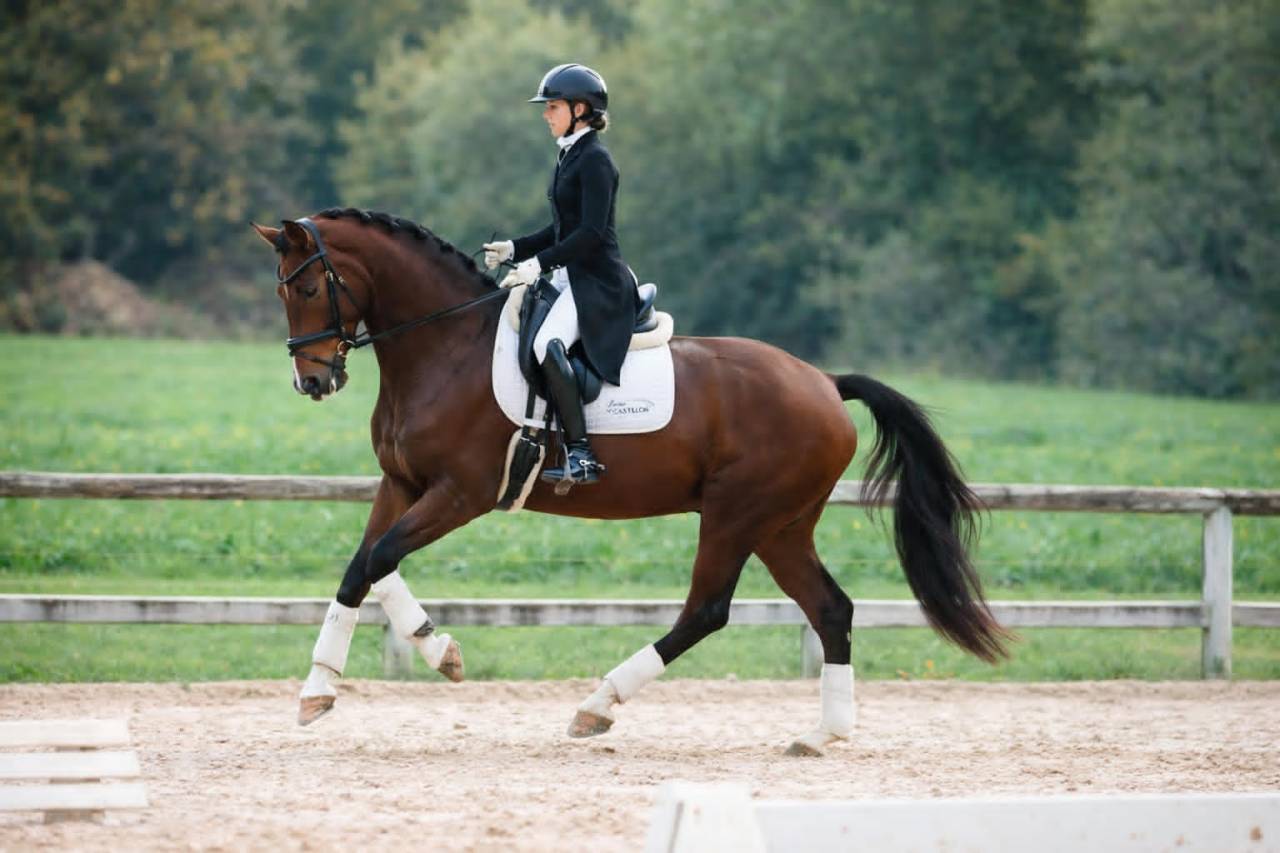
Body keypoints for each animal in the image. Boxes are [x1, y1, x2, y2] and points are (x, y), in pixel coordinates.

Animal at [251, 208, 1009, 757]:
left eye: (309, 287)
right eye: (282, 291)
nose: (313, 381)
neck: (445, 346)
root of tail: (824, 381)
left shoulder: (462, 495)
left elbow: (377, 559)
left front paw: (408, 664)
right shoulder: (402, 484)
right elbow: (364, 567)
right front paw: (341, 682)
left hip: (738, 514)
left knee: (707, 610)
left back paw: (597, 706)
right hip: (782, 526)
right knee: (831, 610)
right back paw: (824, 734)